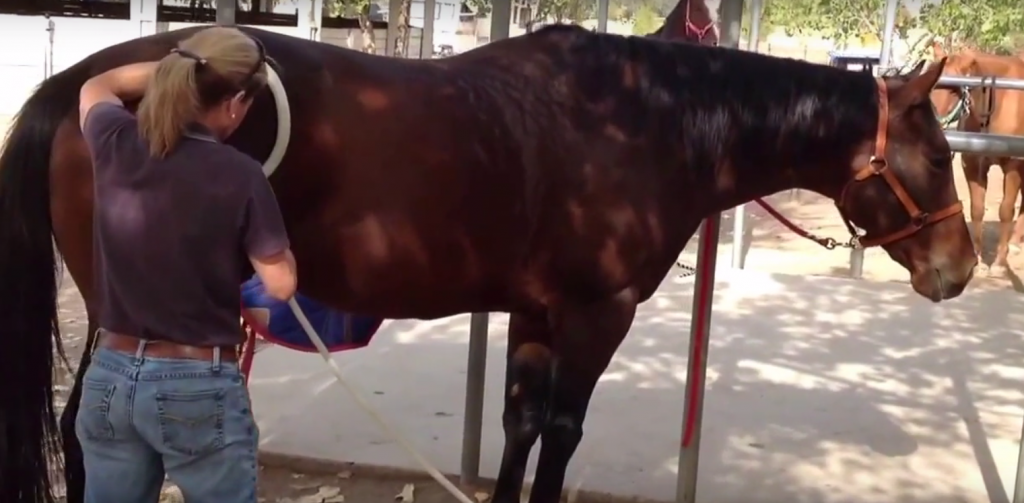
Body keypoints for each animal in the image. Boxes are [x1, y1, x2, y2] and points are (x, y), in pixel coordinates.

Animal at [0, 20, 974, 503]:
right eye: (937, 155)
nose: (960, 270)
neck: (647, 121)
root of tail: (84, 82)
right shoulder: (598, 311)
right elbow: (564, 433)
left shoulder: (538, 313)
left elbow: (521, 426)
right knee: (81, 432)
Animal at [930, 42, 1024, 275]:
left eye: (954, 89)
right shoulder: (973, 164)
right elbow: (977, 209)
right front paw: (979, 260)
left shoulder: (1014, 166)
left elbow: (1005, 210)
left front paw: (999, 263)